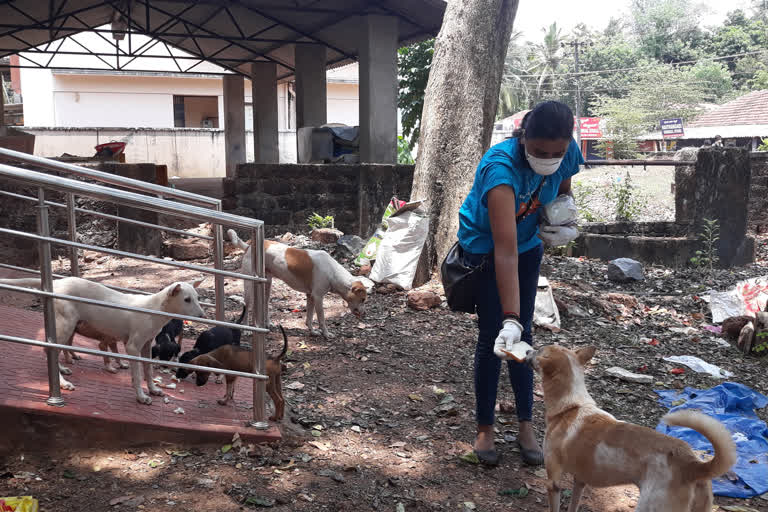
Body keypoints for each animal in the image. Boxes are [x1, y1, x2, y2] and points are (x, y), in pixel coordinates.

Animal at [0, 276, 204, 404]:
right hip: (66, 324)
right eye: (187, 299)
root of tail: (57, 283)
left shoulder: (147, 346)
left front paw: (153, 389)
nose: (203, 316)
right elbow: (138, 374)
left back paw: (62, 370)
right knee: (50, 348)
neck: (154, 309)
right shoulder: (133, 347)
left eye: (197, 297)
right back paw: (62, 383)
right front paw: (141, 397)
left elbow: (148, 370)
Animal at [226, 230, 368, 338]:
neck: (332, 272)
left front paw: (312, 331)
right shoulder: (318, 298)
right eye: (362, 299)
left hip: (267, 284)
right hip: (249, 285)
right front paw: (326, 334)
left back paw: (265, 324)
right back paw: (246, 329)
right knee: (247, 306)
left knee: (264, 304)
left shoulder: (310, 296)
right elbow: (321, 319)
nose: (365, 314)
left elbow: (309, 318)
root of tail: (249, 246)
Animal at [524, 344, 736, 512]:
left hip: (650, 507)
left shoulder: (554, 482)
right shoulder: (580, 480)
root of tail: (693, 465)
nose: (526, 350)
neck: (572, 406)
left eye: (538, 350)